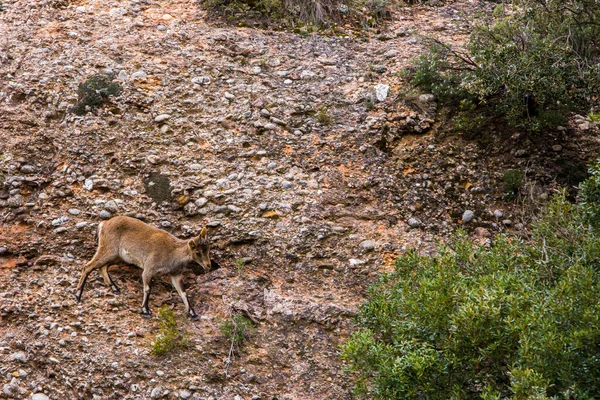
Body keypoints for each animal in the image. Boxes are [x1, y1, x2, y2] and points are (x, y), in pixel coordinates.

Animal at [75, 216, 216, 318]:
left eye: (208, 249)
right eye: (198, 252)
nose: (208, 265)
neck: (173, 252)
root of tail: (104, 223)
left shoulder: (175, 274)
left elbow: (183, 293)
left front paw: (193, 313)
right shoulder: (149, 268)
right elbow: (148, 288)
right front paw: (145, 310)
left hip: (117, 256)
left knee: (102, 267)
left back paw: (115, 288)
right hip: (108, 249)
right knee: (88, 266)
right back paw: (77, 294)